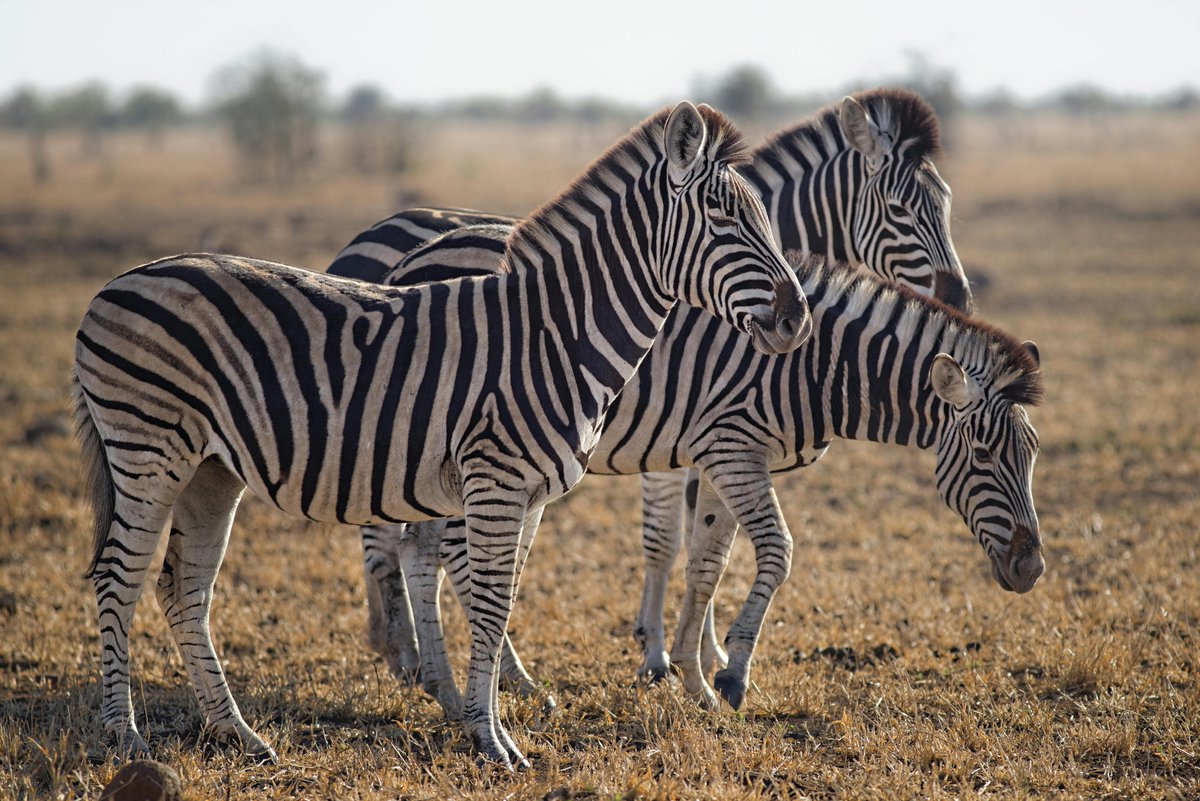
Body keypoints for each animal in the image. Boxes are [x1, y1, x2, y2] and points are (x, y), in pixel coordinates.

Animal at [71, 102, 812, 769]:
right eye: (722, 217)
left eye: (764, 220)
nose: (797, 319)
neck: (557, 335)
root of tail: (113, 285)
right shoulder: (496, 480)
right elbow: (487, 604)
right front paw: (491, 741)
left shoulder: (528, 494)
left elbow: (500, 602)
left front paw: (490, 723)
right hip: (148, 451)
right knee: (119, 577)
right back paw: (125, 736)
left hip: (210, 469)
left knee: (183, 588)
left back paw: (239, 735)